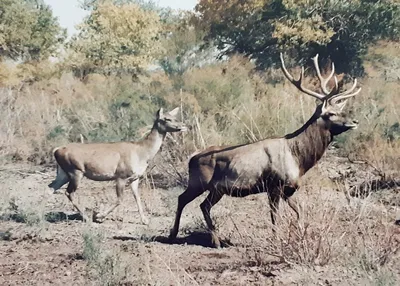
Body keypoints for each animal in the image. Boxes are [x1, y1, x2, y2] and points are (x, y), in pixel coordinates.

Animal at [169, 53, 362, 248]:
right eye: (331, 113)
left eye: (340, 109)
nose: (355, 121)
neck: (298, 159)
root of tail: (192, 159)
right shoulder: (273, 185)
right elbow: (274, 215)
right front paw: (277, 240)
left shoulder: (289, 189)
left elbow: (299, 210)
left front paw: (301, 235)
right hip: (198, 182)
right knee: (183, 199)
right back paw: (176, 235)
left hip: (217, 189)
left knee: (203, 205)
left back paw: (214, 241)